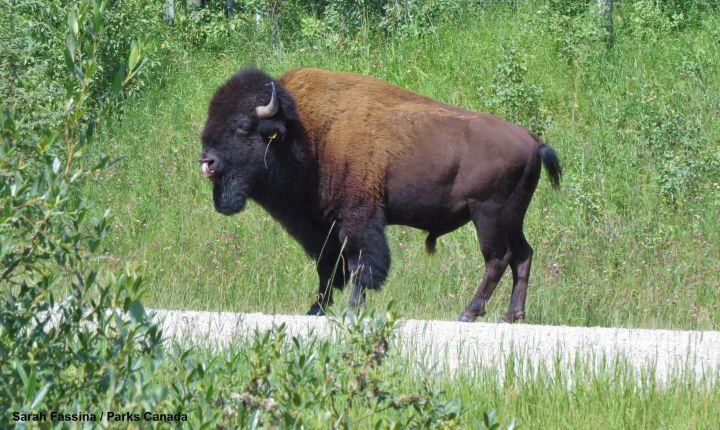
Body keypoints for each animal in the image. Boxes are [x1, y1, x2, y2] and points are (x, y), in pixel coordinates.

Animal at [199, 67, 561, 323]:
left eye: (242, 126)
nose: (207, 162)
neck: (309, 135)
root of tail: (533, 140)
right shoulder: (324, 228)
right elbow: (328, 267)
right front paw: (316, 310)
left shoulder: (359, 218)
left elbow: (361, 265)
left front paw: (351, 310)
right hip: (512, 217)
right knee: (523, 255)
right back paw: (512, 315)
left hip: (487, 214)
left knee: (497, 258)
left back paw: (469, 313)